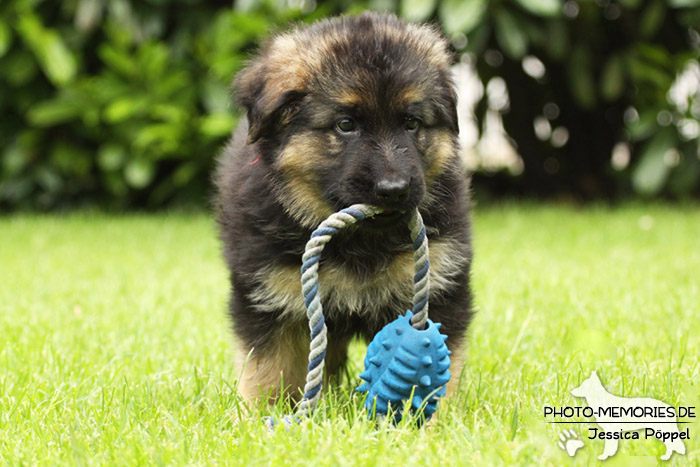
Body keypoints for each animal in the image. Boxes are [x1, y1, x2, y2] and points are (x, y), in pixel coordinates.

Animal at [216, 11, 474, 406]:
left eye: (412, 122)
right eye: (345, 125)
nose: (394, 190)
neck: (358, 241)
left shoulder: (441, 281)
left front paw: (438, 417)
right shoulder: (269, 294)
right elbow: (267, 372)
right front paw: (259, 414)